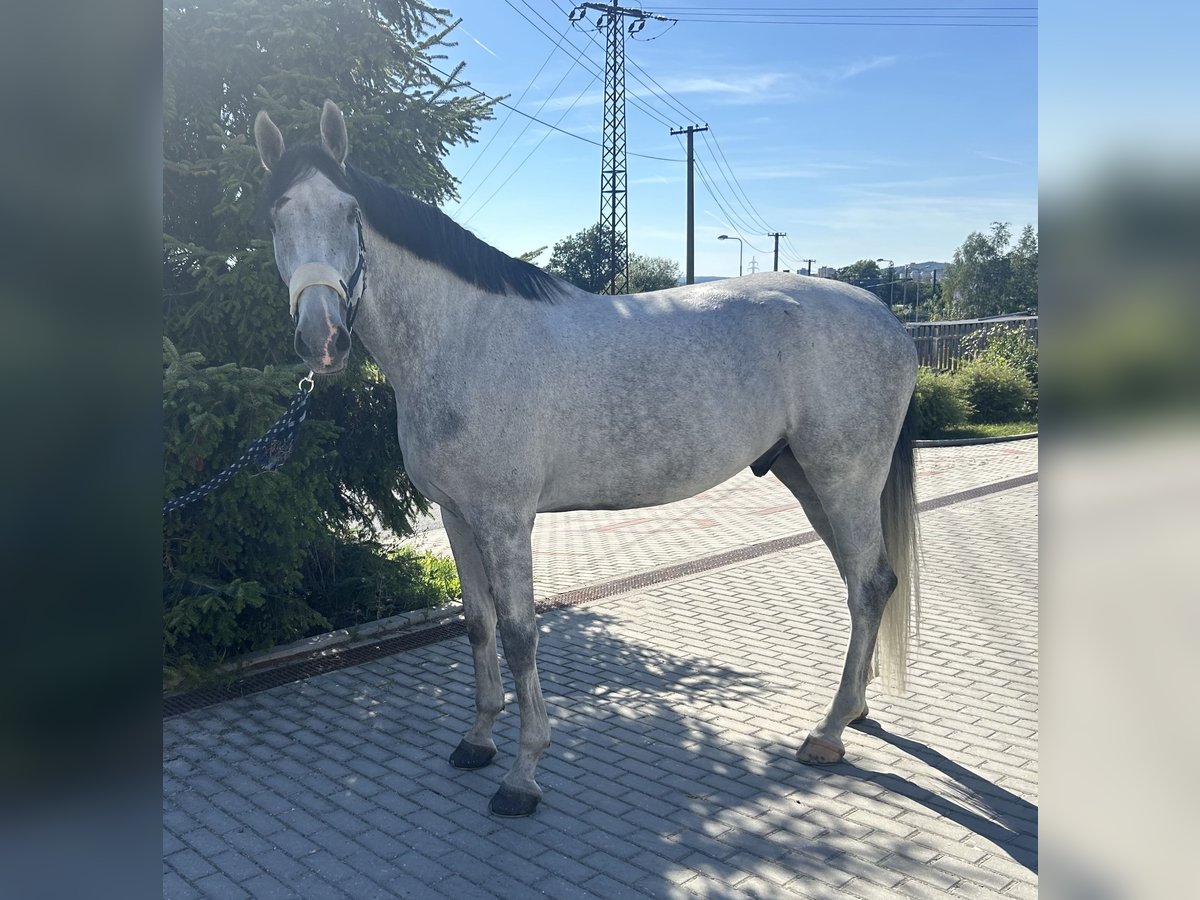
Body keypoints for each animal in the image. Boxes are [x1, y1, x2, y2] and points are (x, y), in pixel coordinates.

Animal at [253, 102, 916, 820]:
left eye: (350, 212)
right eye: (274, 217)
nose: (322, 338)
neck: (464, 338)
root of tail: (886, 316)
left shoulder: (505, 519)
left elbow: (519, 634)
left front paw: (523, 775)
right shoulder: (456, 514)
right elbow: (478, 624)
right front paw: (477, 741)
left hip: (844, 477)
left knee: (869, 584)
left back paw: (827, 731)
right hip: (807, 477)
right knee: (862, 582)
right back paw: (854, 711)